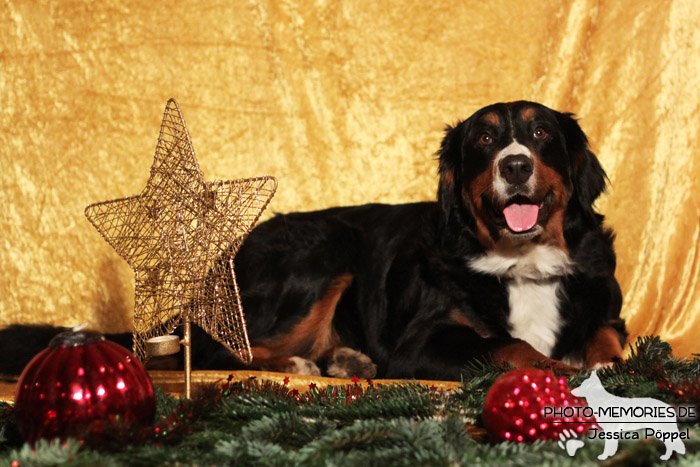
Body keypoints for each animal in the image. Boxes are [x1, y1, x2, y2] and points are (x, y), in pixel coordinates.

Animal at [0, 100, 628, 382]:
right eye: (484, 140)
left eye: (541, 132)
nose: (516, 165)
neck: (522, 264)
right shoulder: (419, 342)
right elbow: (507, 345)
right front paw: (555, 368)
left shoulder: (603, 307)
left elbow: (610, 340)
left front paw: (606, 366)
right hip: (324, 249)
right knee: (223, 350)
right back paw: (309, 363)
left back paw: (344, 359)